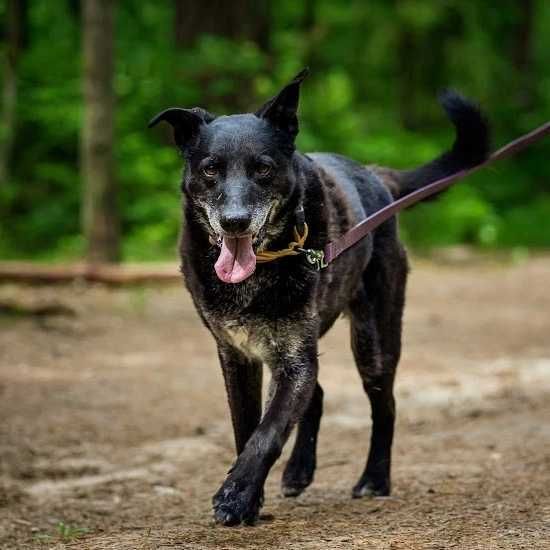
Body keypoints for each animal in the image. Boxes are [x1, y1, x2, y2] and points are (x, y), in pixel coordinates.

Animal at [149, 69, 490, 528]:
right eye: (210, 170)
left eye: (263, 168)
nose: (235, 221)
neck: (265, 265)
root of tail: (376, 176)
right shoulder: (237, 356)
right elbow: (247, 428)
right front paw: (250, 496)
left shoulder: (295, 357)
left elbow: (268, 432)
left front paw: (236, 498)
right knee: (319, 395)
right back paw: (298, 471)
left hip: (373, 343)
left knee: (385, 405)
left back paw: (374, 480)